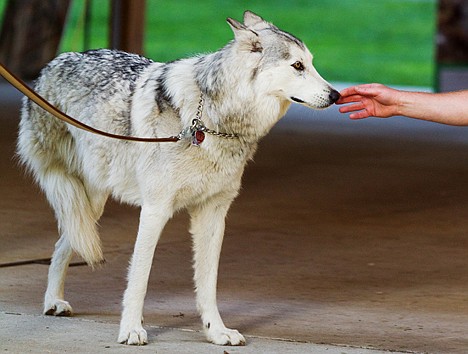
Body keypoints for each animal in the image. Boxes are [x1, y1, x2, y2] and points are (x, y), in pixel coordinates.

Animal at [17, 10, 340, 346]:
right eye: (298, 66)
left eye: (311, 63)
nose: (336, 95)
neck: (211, 122)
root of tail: (53, 63)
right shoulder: (155, 211)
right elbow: (140, 277)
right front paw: (131, 329)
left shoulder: (213, 215)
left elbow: (208, 284)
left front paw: (216, 332)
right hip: (86, 204)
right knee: (66, 241)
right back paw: (53, 302)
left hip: (89, 207)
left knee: (64, 242)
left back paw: (54, 301)